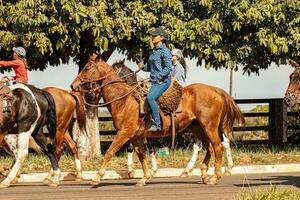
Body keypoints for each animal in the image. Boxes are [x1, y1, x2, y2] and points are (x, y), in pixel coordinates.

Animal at [71, 59, 244, 186]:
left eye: (87, 68)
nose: (73, 85)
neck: (124, 100)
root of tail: (216, 90)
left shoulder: (125, 132)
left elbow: (110, 152)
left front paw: (97, 178)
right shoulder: (136, 136)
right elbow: (142, 154)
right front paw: (144, 177)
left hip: (210, 127)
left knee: (218, 146)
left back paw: (215, 176)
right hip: (197, 128)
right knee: (209, 147)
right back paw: (202, 173)